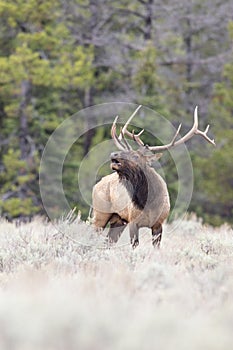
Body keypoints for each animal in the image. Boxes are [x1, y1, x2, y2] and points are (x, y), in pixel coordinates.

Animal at [91, 105, 215, 247]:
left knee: (108, 241)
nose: (113, 155)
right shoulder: (133, 221)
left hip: (118, 219)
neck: (149, 203)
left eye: (135, 156)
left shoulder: (158, 224)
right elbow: (135, 245)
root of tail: (97, 184)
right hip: (100, 214)